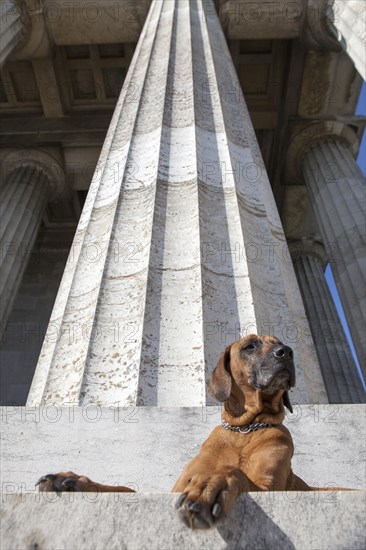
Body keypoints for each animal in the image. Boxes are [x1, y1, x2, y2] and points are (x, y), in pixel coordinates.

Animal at [37, 336, 312, 532]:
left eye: (278, 343)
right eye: (250, 346)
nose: (287, 351)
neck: (243, 431)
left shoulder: (269, 487)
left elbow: (234, 473)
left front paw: (210, 486)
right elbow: (125, 489)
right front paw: (74, 481)